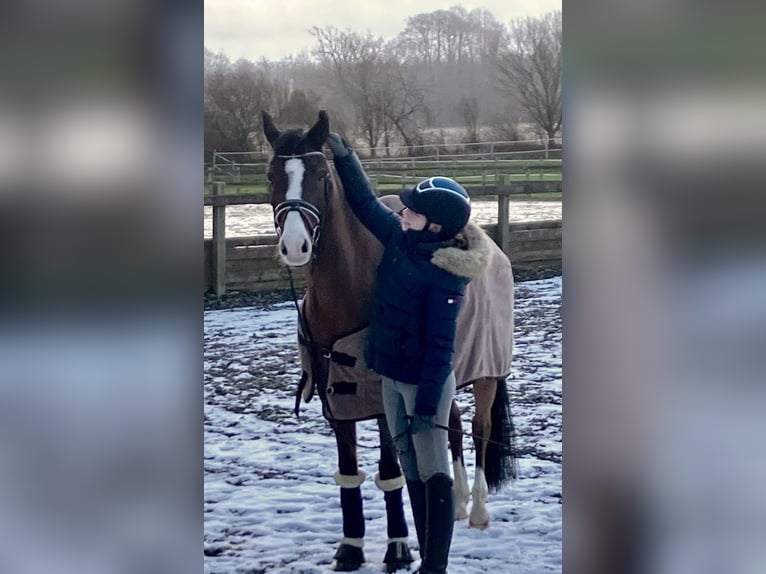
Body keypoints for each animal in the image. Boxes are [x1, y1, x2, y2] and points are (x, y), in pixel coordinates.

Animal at [262, 110, 516, 572]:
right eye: (271, 174)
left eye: (321, 175)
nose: (295, 246)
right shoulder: (337, 400)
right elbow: (349, 469)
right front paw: (351, 547)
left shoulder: (382, 401)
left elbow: (390, 470)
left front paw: (397, 546)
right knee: (452, 426)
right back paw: (454, 503)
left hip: (487, 373)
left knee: (479, 429)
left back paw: (477, 510)